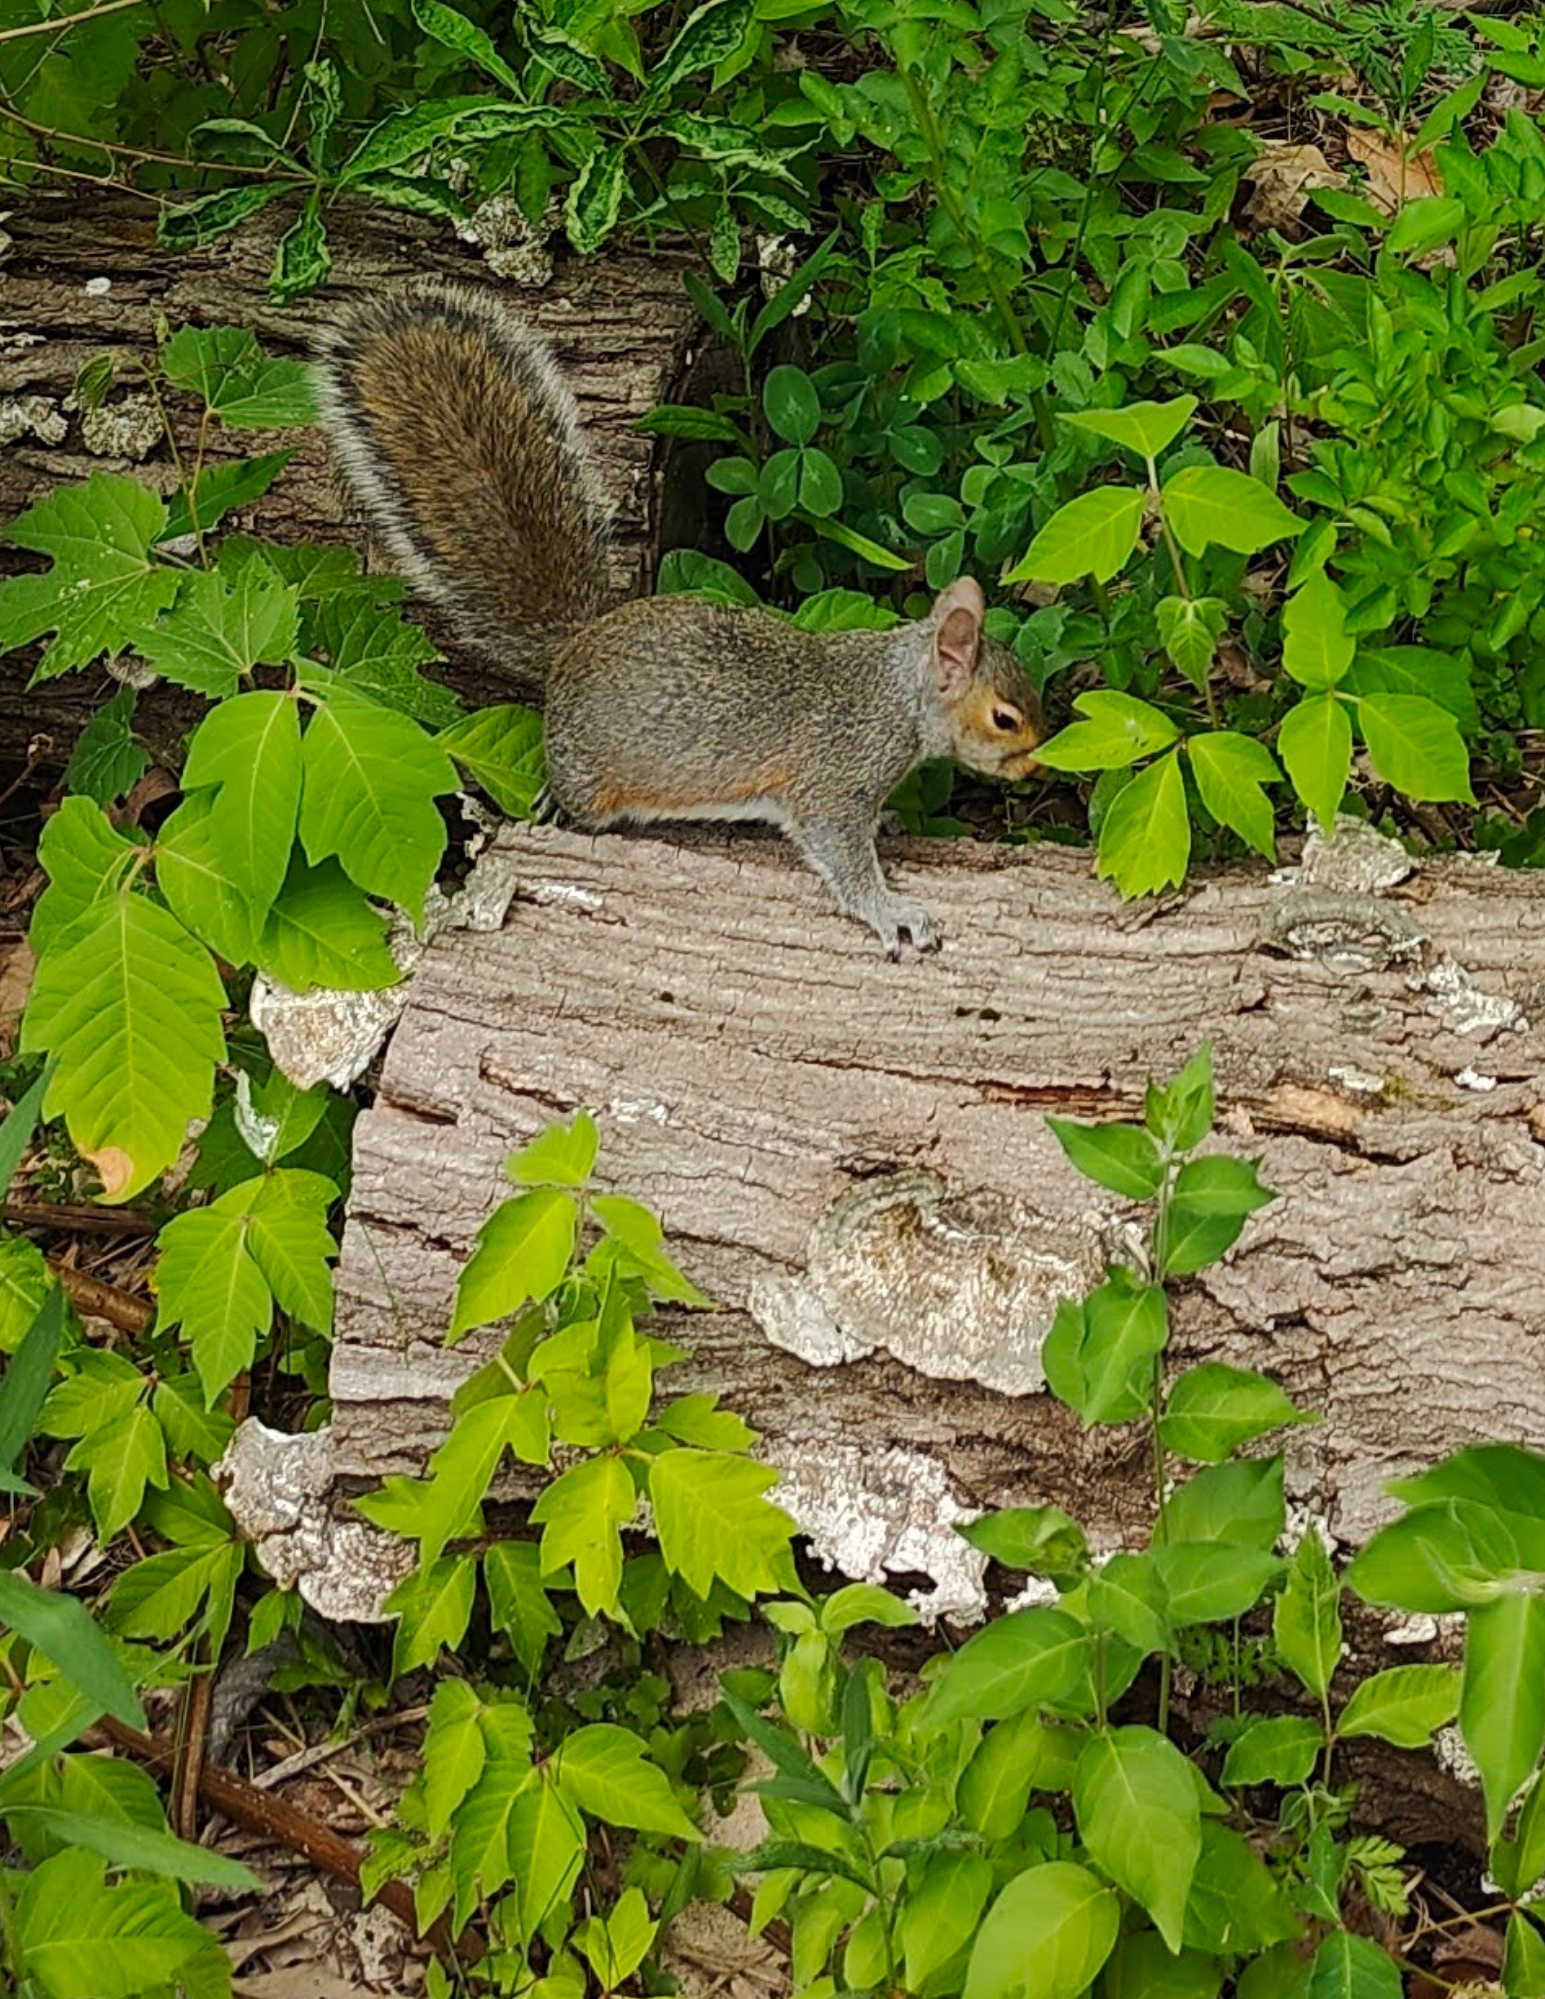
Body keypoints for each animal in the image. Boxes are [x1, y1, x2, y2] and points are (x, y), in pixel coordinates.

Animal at [315, 282, 1045, 954]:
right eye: (1005, 718)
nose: (1037, 766)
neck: (897, 694)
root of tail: (572, 648)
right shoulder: (834, 776)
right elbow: (839, 851)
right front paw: (892, 911)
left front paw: (889, 822)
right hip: (592, 776)